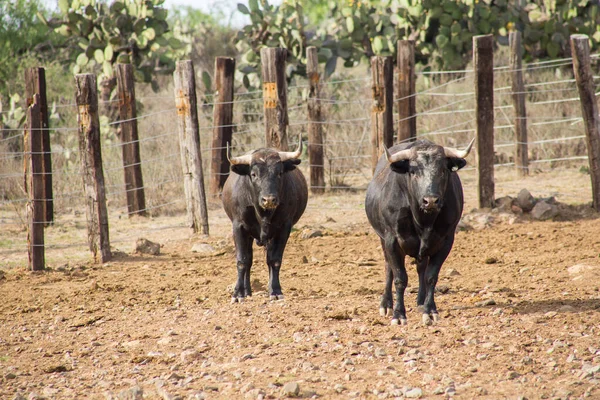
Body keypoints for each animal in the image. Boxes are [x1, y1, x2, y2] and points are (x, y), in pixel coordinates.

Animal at [364, 138, 476, 324]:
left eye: (443, 170)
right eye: (413, 171)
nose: (430, 200)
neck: (423, 220)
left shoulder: (446, 240)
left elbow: (431, 276)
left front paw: (430, 311)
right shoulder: (392, 240)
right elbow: (399, 278)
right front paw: (398, 314)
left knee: (421, 268)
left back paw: (421, 301)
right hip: (382, 239)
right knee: (388, 268)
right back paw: (386, 304)